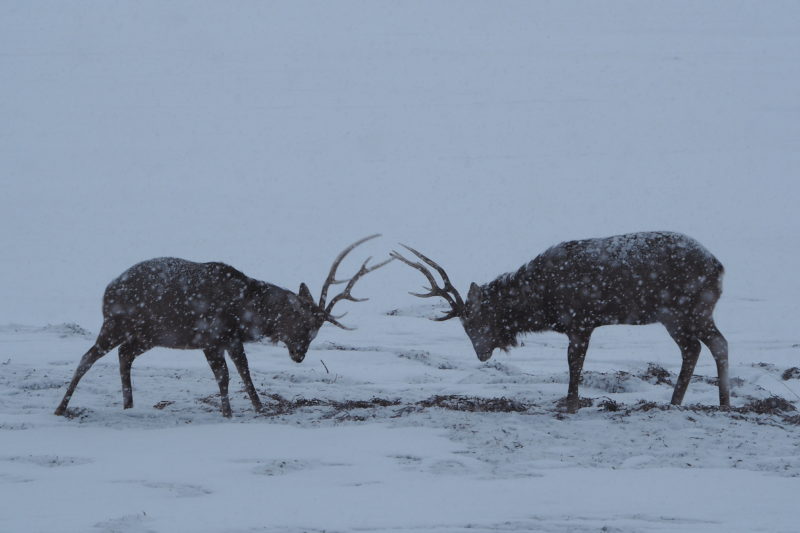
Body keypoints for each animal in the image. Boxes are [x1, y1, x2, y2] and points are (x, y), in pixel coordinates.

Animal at [53, 235, 390, 418]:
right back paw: (61, 407)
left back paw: (129, 405)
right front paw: (228, 414)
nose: (299, 355)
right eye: (305, 324)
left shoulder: (230, 339)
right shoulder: (211, 336)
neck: (246, 312)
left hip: (150, 334)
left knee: (124, 354)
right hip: (117, 323)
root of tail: (107, 290)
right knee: (88, 357)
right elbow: (224, 377)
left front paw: (259, 408)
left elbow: (245, 373)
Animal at [394, 230, 732, 412]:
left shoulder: (580, 321)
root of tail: (719, 266)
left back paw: (724, 402)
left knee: (717, 343)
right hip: (673, 316)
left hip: (691, 308)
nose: (481, 353)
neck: (544, 302)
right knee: (692, 349)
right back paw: (676, 401)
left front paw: (570, 404)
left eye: (473, 322)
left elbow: (574, 364)